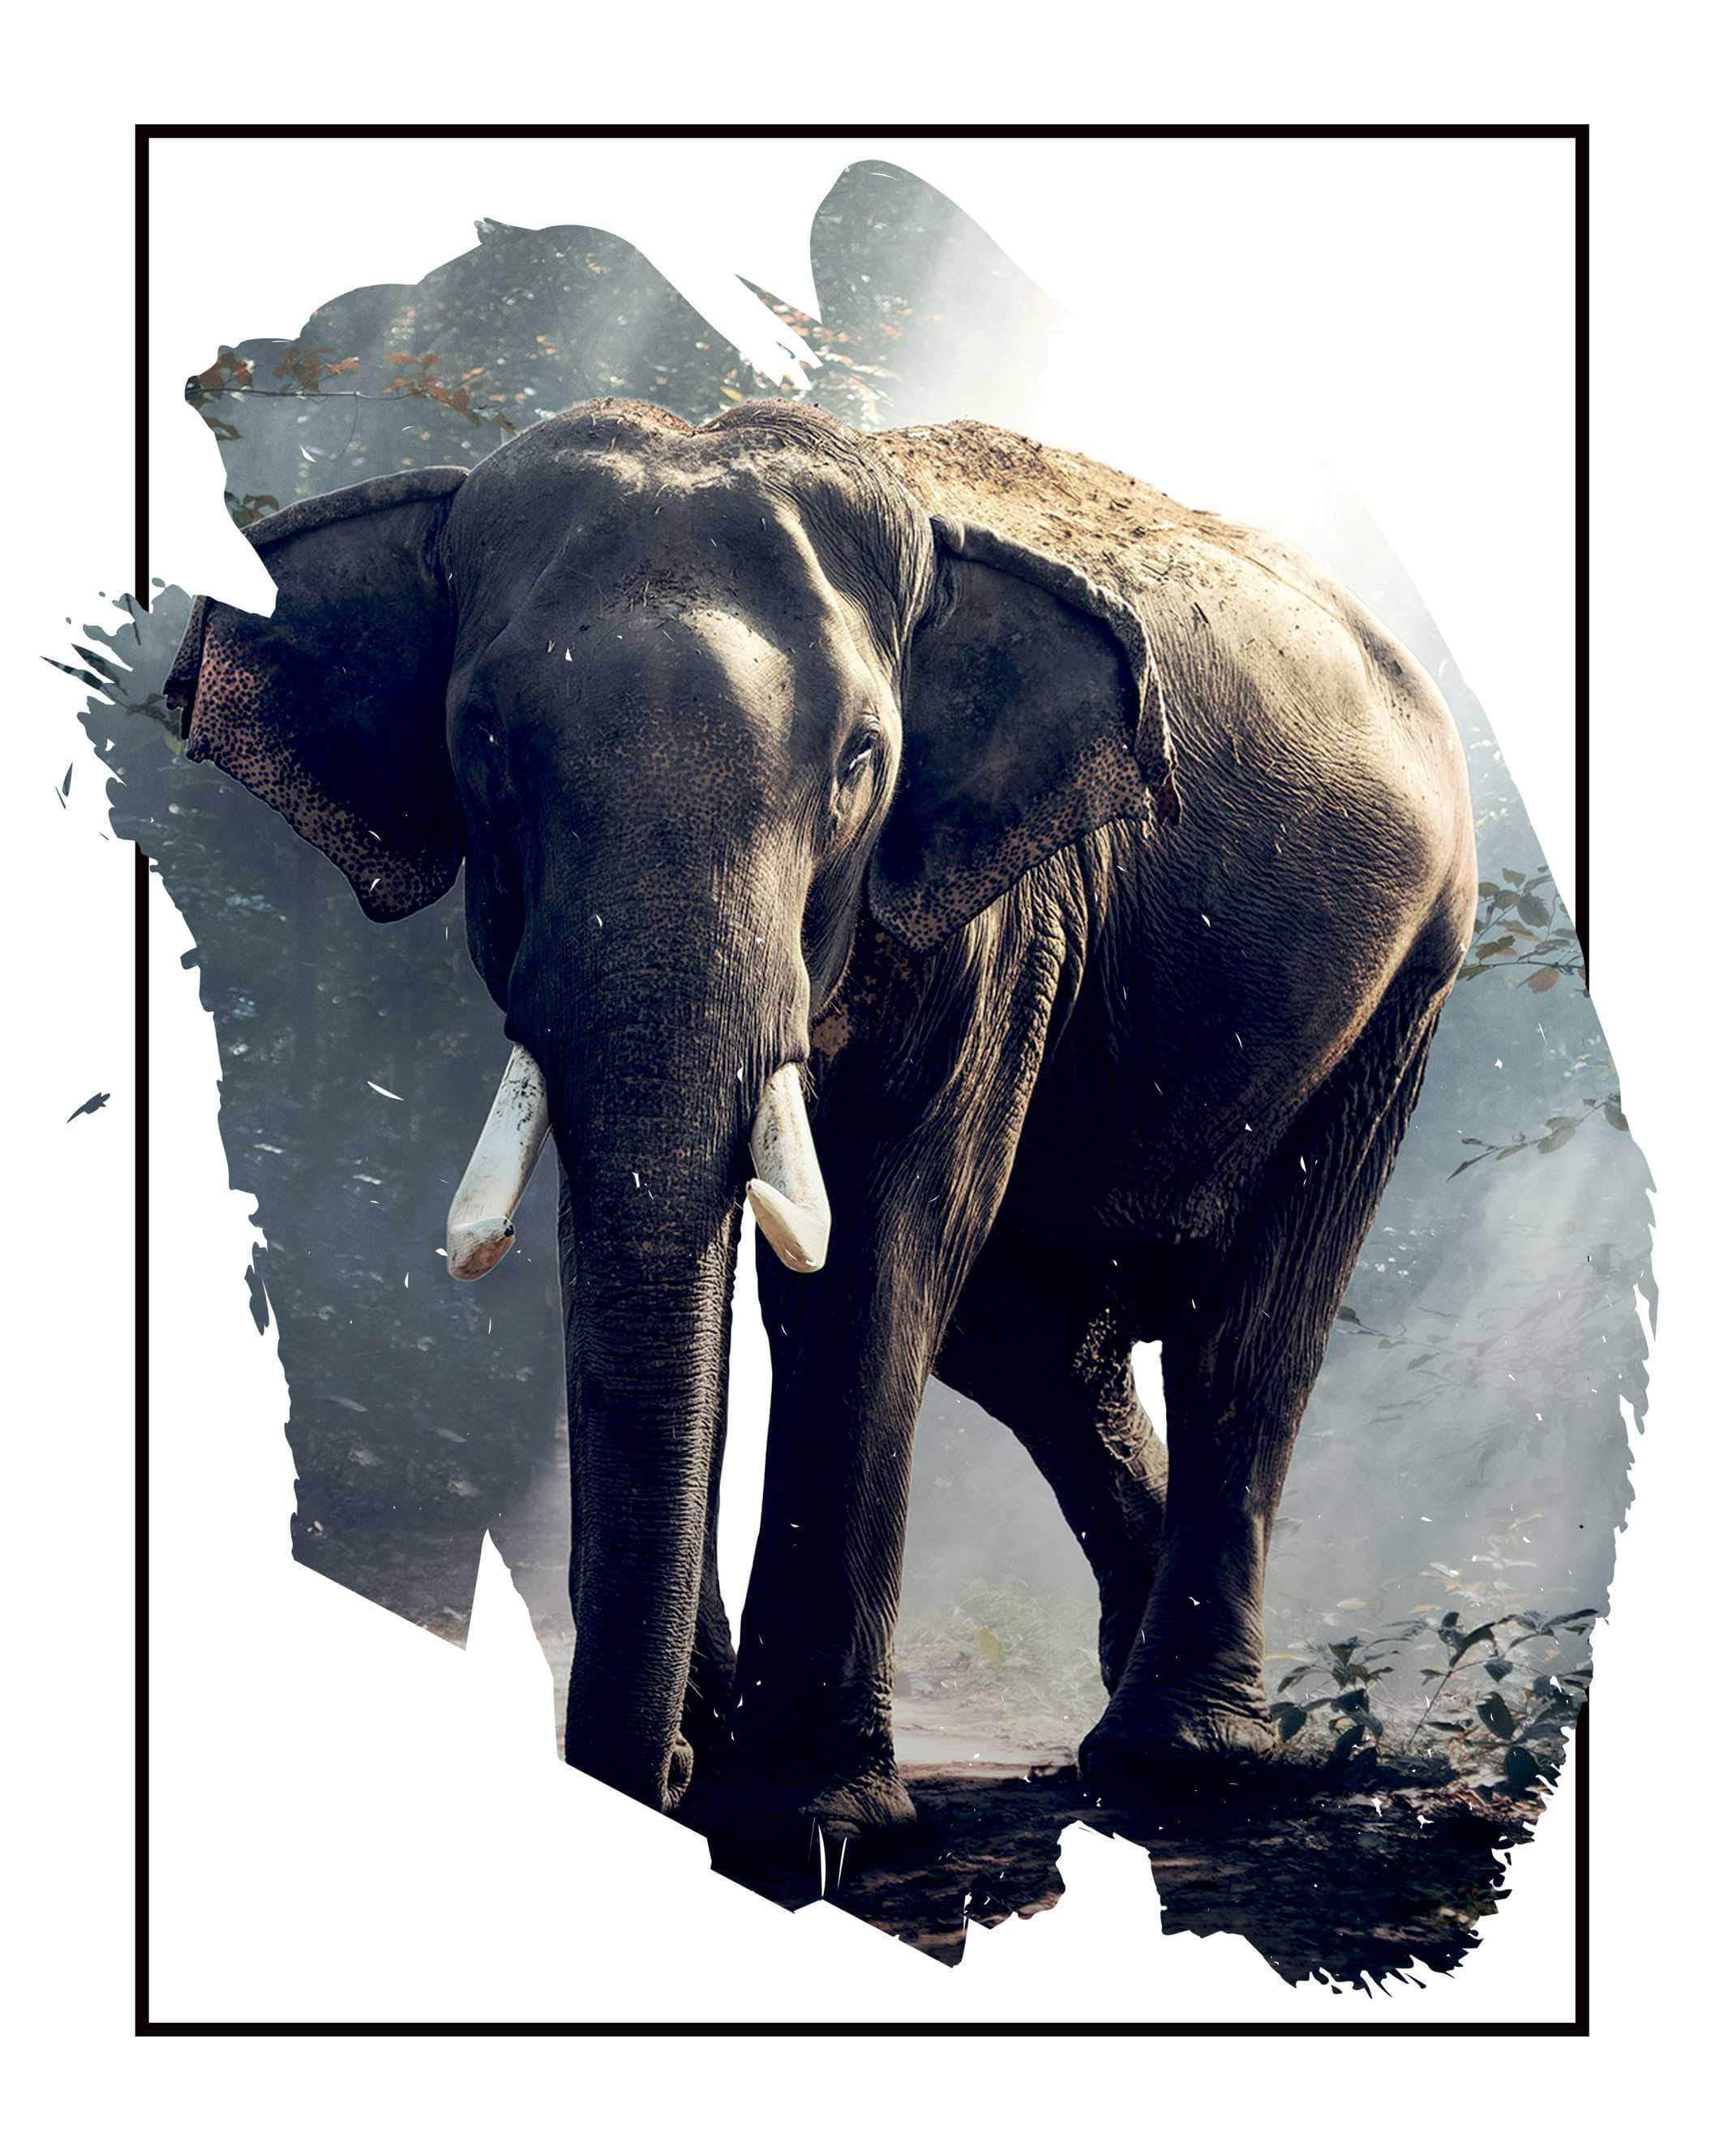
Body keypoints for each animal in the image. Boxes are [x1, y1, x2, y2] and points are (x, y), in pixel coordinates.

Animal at [166, 397, 1476, 1834]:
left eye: (860, 758)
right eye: (485, 740)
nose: (648, 1776)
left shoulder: (996, 920)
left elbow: (874, 1252)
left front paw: (811, 1818)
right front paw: (707, 1770)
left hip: (1404, 984)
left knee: (1244, 1337)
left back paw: (1182, 1760)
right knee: (1031, 1345)